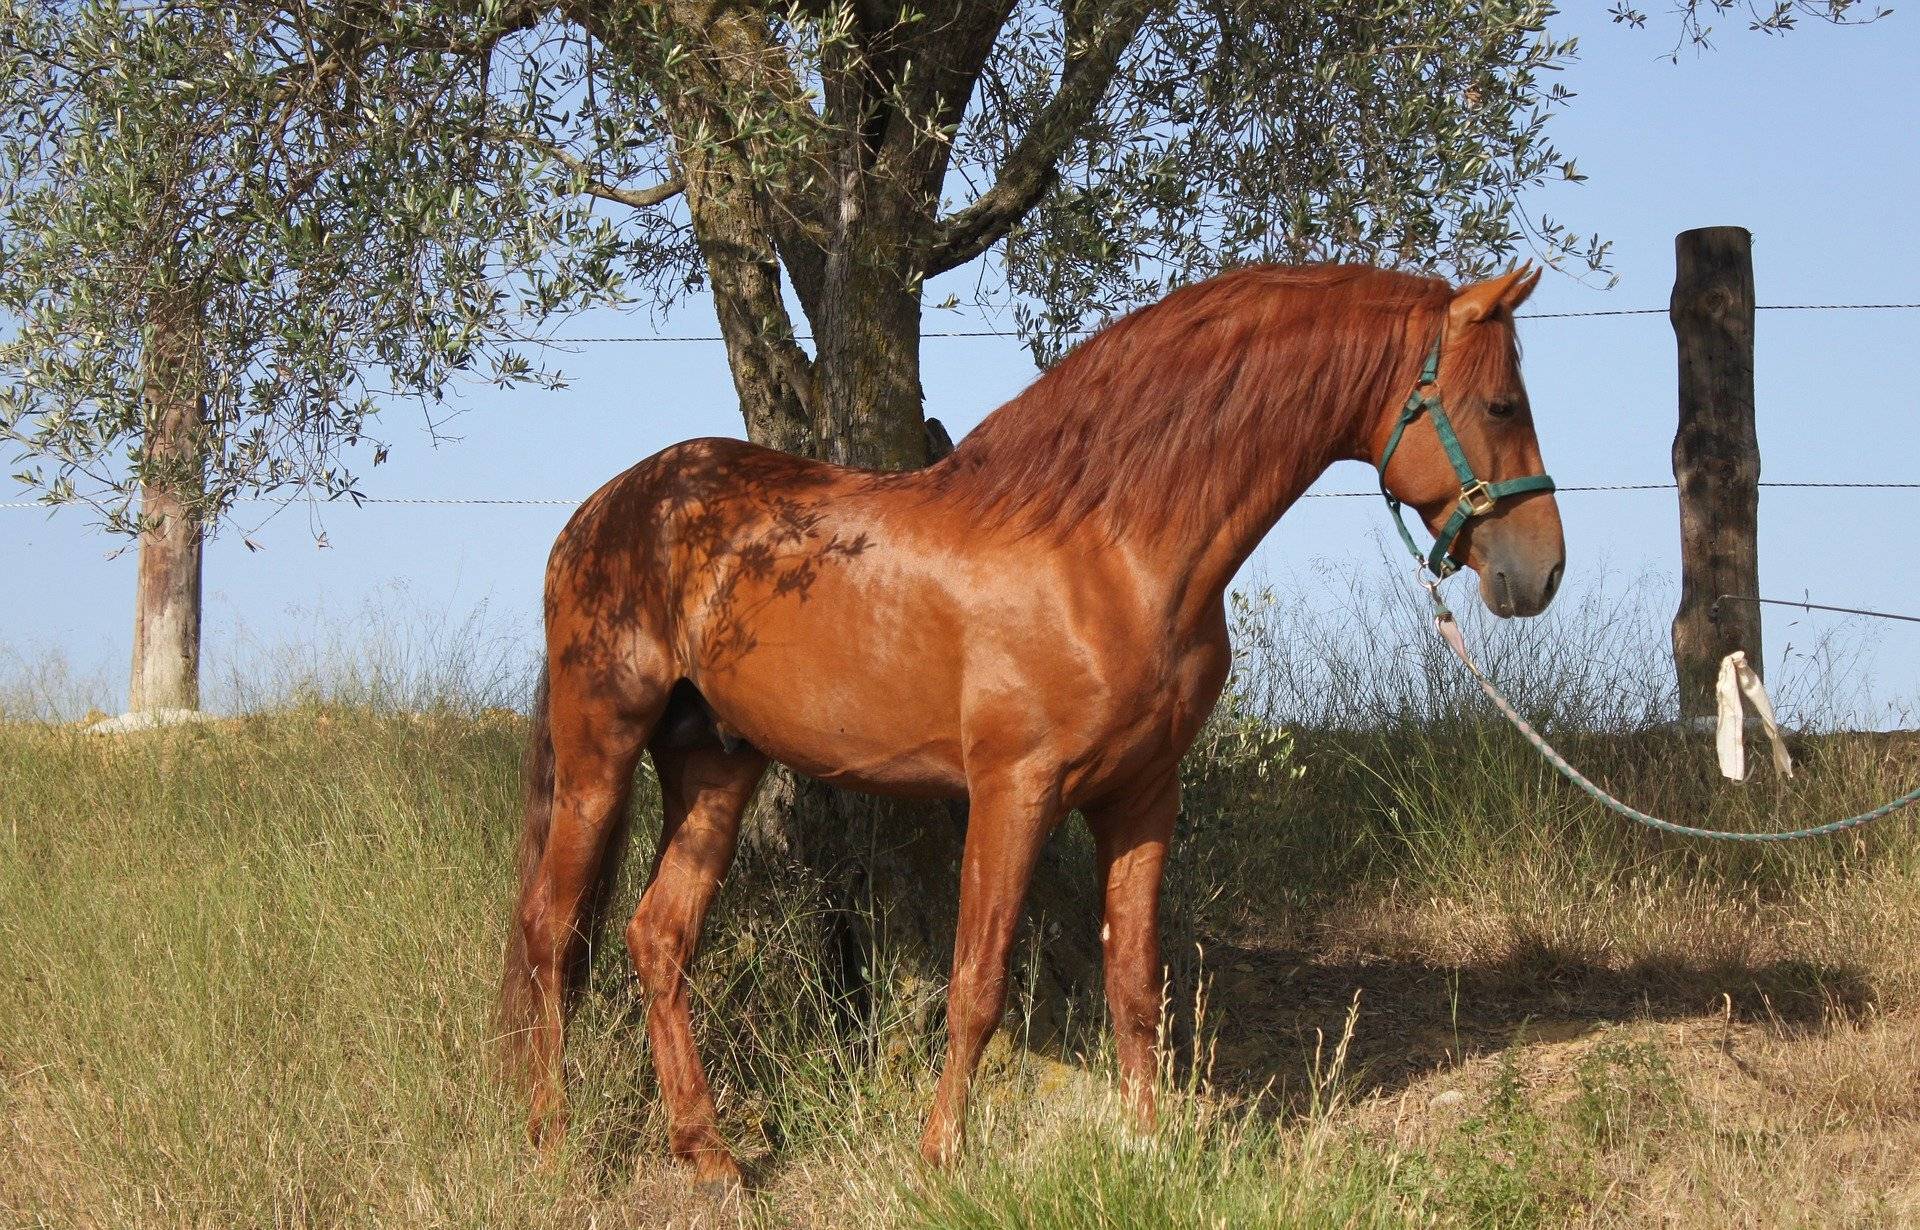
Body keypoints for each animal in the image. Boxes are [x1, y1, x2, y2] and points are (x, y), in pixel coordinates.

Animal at [497, 262, 1563, 1187]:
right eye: (1502, 407)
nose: (1540, 572)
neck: (1109, 547)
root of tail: (599, 513)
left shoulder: (1143, 797)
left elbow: (1134, 979)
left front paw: (1147, 1148)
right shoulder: (1014, 789)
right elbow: (977, 985)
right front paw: (939, 1161)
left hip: (715, 763)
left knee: (656, 936)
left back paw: (709, 1155)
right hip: (601, 750)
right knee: (550, 934)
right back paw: (548, 1143)